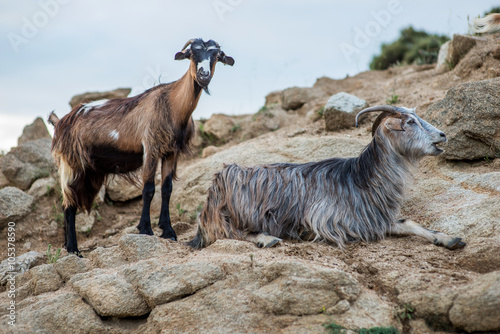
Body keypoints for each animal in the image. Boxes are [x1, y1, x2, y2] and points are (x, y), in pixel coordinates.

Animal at [49, 37, 233, 254]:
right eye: (192, 53)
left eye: (216, 56)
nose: (204, 75)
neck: (172, 104)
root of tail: (61, 121)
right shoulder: (151, 147)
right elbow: (149, 188)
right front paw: (146, 229)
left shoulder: (171, 152)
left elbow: (167, 189)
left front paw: (168, 230)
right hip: (71, 163)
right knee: (68, 204)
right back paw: (73, 250)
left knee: (69, 201)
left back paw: (68, 245)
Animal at [188, 105, 464, 249]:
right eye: (410, 122)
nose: (442, 135)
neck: (361, 179)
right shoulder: (334, 220)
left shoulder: (373, 217)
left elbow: (408, 222)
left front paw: (449, 239)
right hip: (230, 212)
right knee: (227, 232)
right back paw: (267, 238)